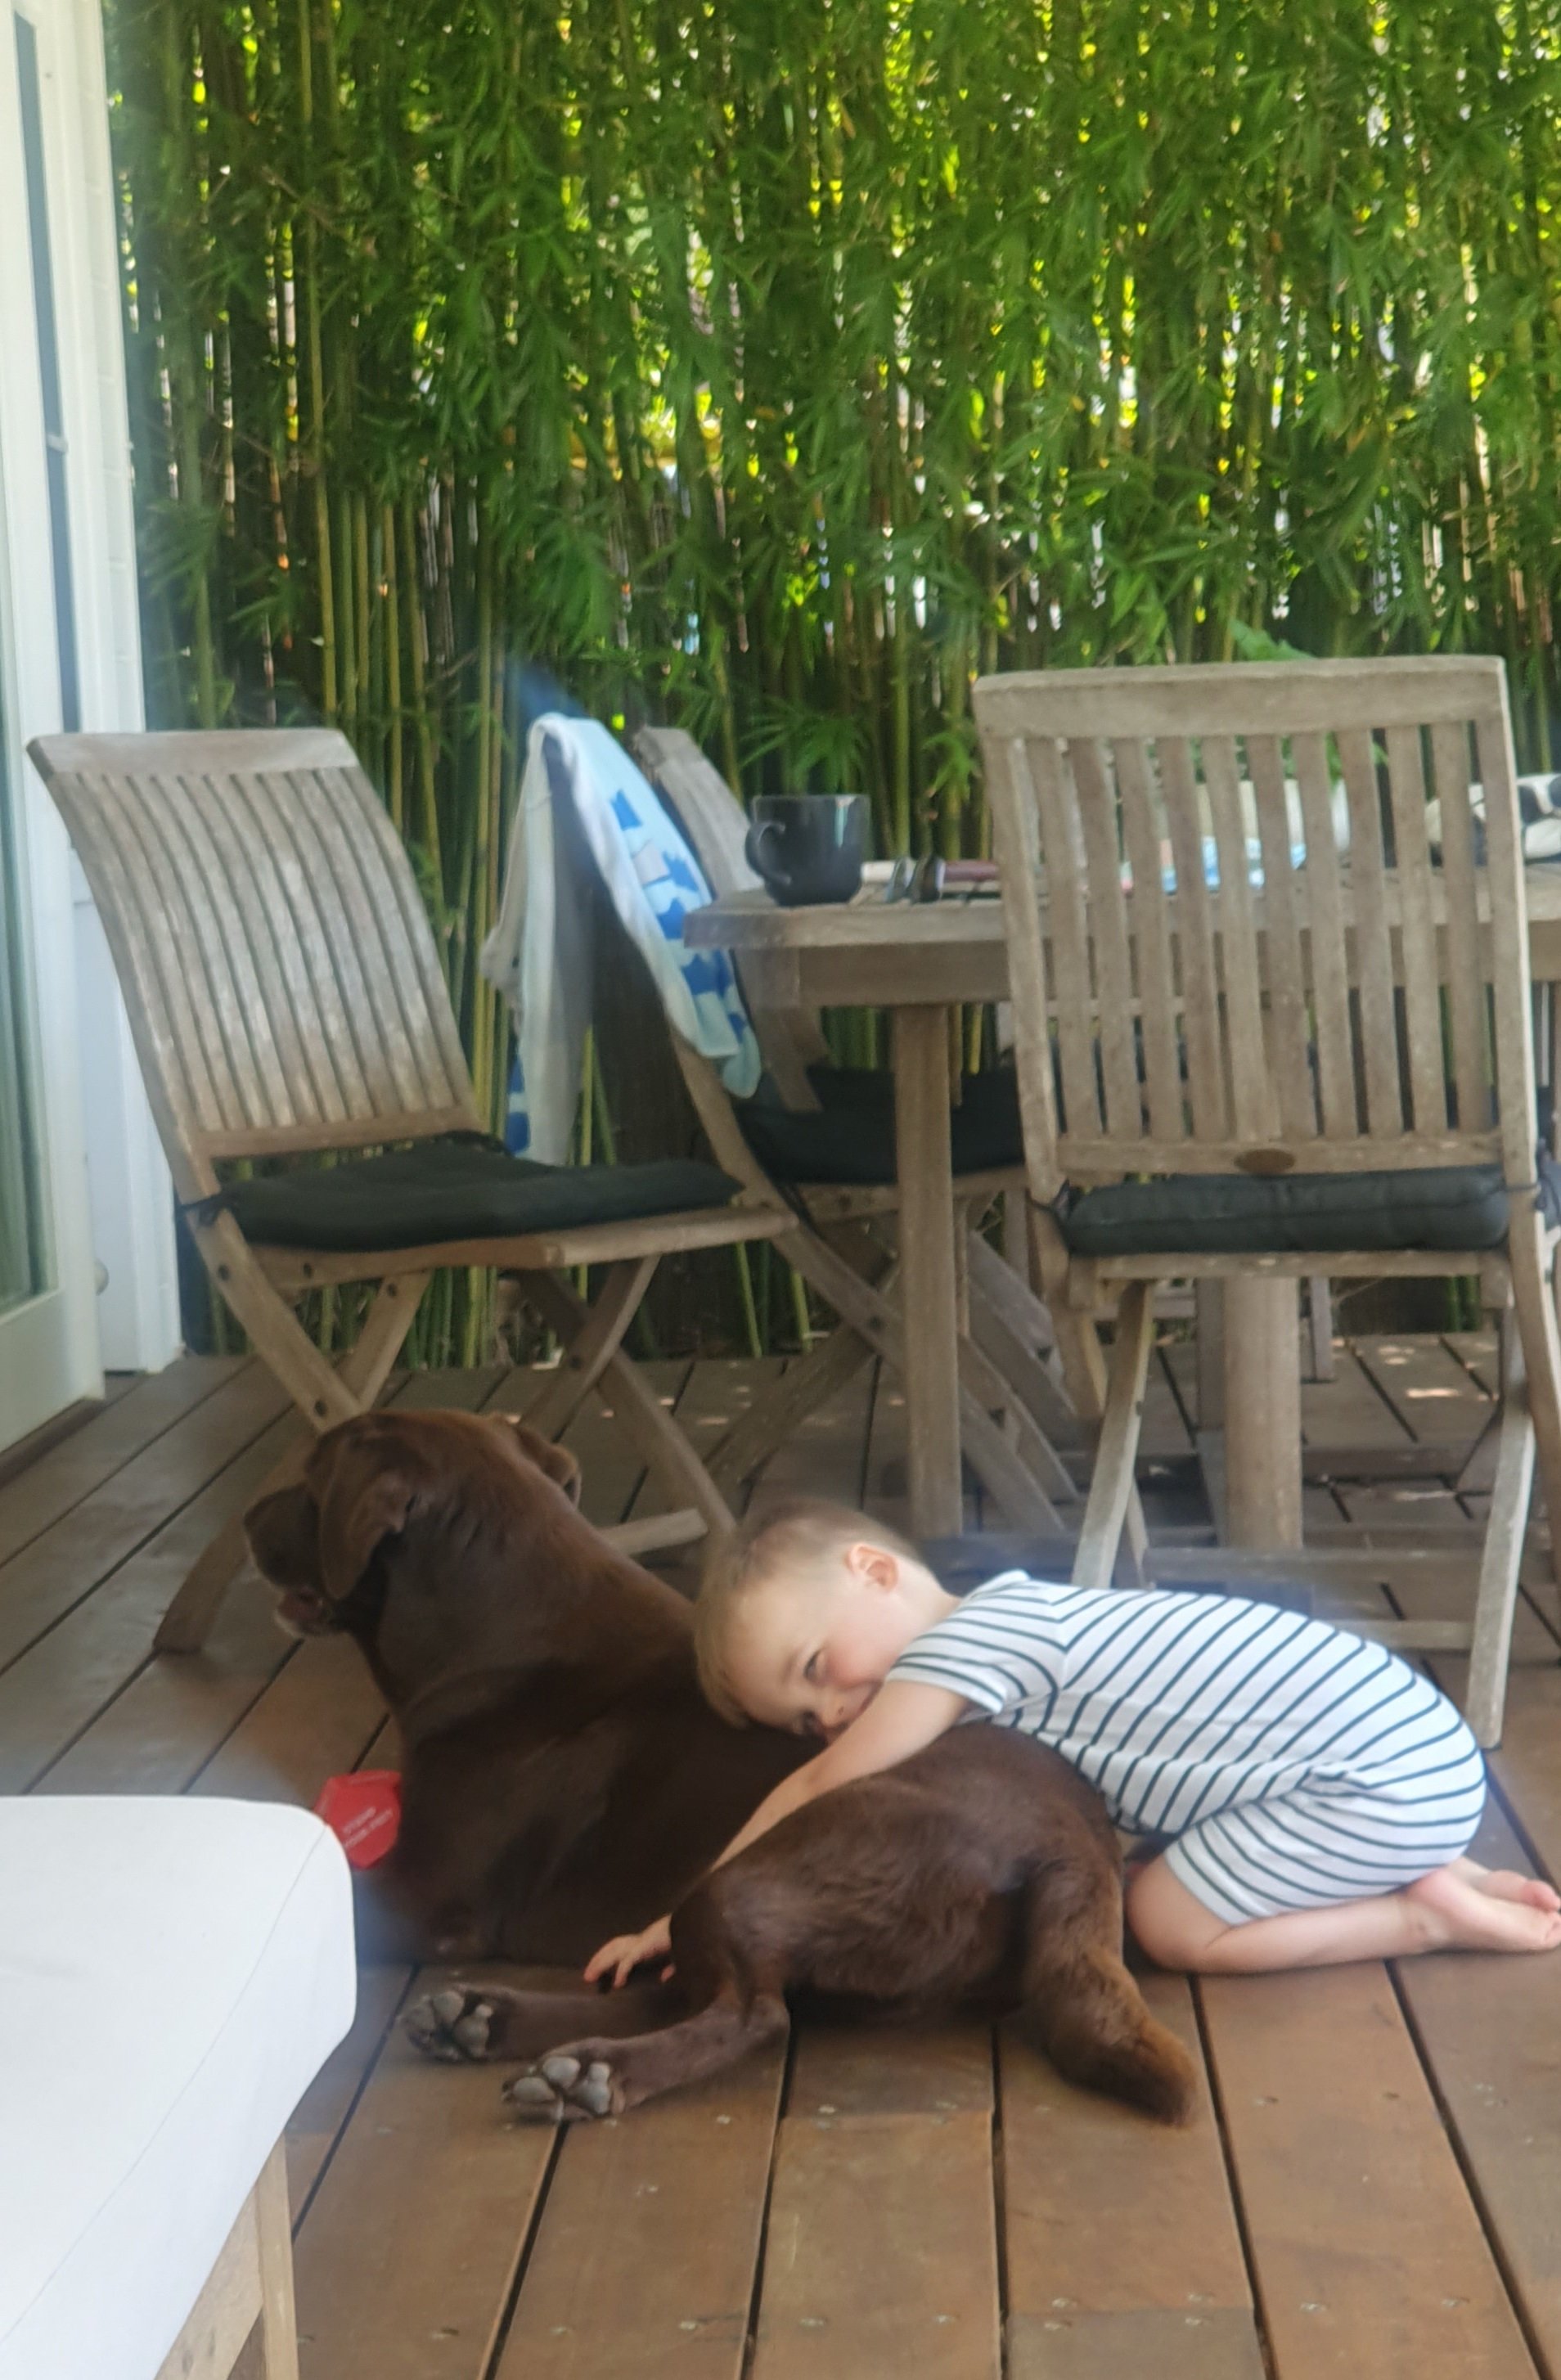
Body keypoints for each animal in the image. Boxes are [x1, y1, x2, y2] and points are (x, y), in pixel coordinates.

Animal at [245, 1411, 1196, 2125]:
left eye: (310, 1481)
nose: (249, 1518)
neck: (502, 1627)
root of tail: (1080, 1843)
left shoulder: (422, 1895)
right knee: (686, 1985)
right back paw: (490, 2021)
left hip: (759, 1869)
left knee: (751, 2010)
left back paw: (589, 2072)